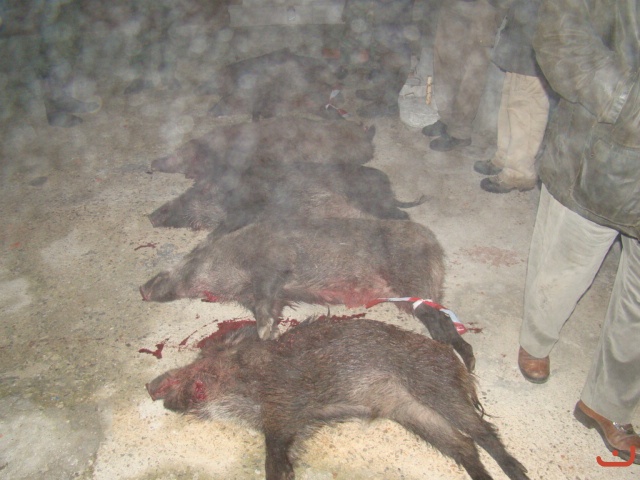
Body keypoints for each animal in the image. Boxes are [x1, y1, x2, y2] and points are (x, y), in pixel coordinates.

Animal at [140, 218, 475, 371]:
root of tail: (433, 246)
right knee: (437, 321)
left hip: (413, 279)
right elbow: (271, 306)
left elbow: (266, 299)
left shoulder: (272, 264)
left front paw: (265, 333)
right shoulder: (268, 293)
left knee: (442, 318)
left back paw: (468, 362)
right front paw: (269, 332)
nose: (142, 288)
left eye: (191, 259)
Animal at [146, 317, 529, 480]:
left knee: (483, 433)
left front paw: (282, 474)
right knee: (463, 447)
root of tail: (455, 362)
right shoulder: (295, 422)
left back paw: (519, 472)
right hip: (414, 414)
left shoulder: (283, 407)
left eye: (201, 359)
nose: (151, 386)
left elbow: (273, 456)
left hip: (437, 390)